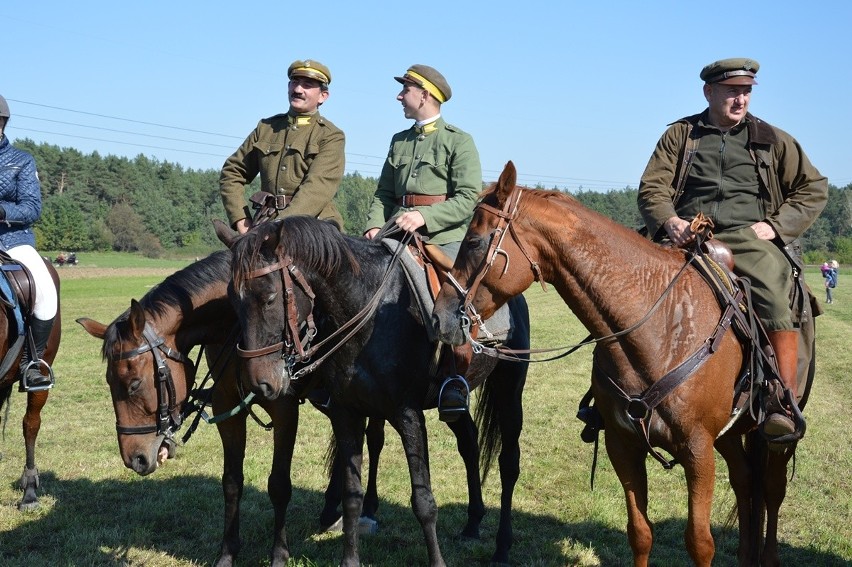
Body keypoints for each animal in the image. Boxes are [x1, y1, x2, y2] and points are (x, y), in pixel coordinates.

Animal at [216, 219, 528, 567]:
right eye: (232, 299)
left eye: (270, 298)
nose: (259, 382)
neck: (367, 310)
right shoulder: (347, 412)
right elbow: (352, 494)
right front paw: (350, 559)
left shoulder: (407, 415)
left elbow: (424, 501)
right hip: (453, 403)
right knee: (469, 443)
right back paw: (473, 523)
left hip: (509, 390)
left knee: (509, 462)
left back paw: (503, 546)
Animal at [436, 162, 816, 564]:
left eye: (474, 241)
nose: (441, 315)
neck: (660, 327)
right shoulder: (623, 446)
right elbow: (640, 533)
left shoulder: (698, 450)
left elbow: (700, 542)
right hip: (728, 436)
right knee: (745, 480)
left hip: (775, 439)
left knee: (771, 489)